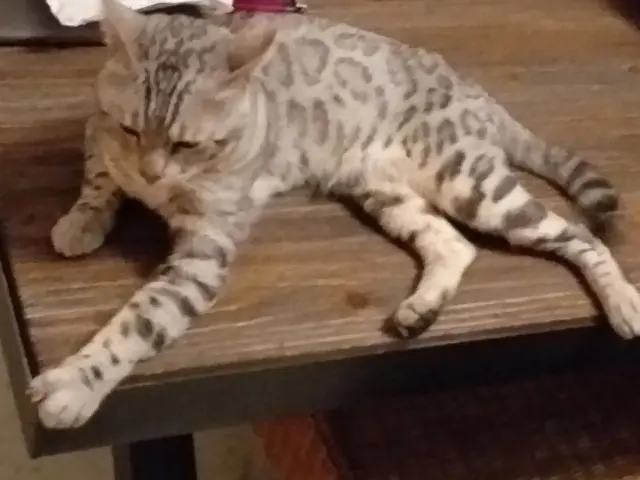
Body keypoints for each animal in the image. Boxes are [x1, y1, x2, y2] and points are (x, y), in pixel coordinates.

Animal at [28, 0, 640, 429]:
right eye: (131, 129)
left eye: (187, 145)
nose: (152, 175)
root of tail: (475, 90)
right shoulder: (97, 132)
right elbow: (100, 179)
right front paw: (81, 221)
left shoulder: (204, 252)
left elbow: (140, 321)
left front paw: (75, 383)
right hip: (386, 194)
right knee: (454, 244)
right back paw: (418, 311)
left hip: (472, 183)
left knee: (579, 234)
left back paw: (624, 301)